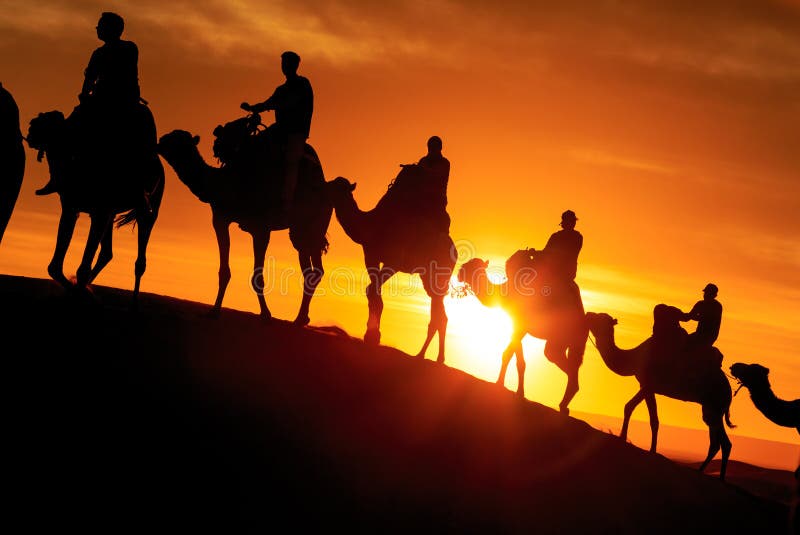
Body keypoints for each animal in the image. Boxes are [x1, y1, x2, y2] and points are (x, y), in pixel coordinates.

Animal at [25, 110, 162, 306]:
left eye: (46, 122)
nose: (30, 131)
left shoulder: (100, 211)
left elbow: (82, 267)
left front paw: (79, 292)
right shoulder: (72, 208)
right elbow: (54, 267)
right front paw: (76, 289)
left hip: (148, 209)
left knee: (140, 258)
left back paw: (133, 303)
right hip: (111, 214)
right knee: (107, 252)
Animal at [156, 130, 332, 322]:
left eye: (175, 141)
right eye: (169, 139)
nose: (158, 144)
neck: (223, 184)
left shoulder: (261, 228)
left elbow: (258, 276)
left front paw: (266, 314)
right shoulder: (220, 219)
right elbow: (224, 271)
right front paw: (214, 311)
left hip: (314, 224)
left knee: (314, 268)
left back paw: (300, 318)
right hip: (300, 232)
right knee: (310, 269)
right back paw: (302, 318)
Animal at [322, 178, 454, 362]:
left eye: (337, 187)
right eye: (332, 183)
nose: (322, 188)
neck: (370, 225)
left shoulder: (394, 261)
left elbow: (373, 290)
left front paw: (373, 336)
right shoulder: (371, 255)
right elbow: (373, 292)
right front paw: (371, 335)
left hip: (438, 273)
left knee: (439, 314)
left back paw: (432, 357)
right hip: (428, 276)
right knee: (439, 314)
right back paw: (426, 356)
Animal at [456, 253, 588, 412]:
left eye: (472, 265)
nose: (459, 273)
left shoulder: (519, 325)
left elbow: (519, 362)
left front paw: (520, 393)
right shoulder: (518, 327)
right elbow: (507, 354)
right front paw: (499, 383)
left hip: (561, 338)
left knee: (561, 362)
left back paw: (563, 405)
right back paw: (564, 405)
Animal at [584, 312, 736, 480]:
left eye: (600, 318)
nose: (588, 314)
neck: (635, 357)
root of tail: (729, 391)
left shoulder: (648, 384)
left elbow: (631, 408)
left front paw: (624, 438)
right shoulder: (647, 387)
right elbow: (650, 418)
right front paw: (650, 449)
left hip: (715, 405)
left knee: (723, 442)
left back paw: (719, 478)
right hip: (710, 409)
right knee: (717, 442)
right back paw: (702, 471)